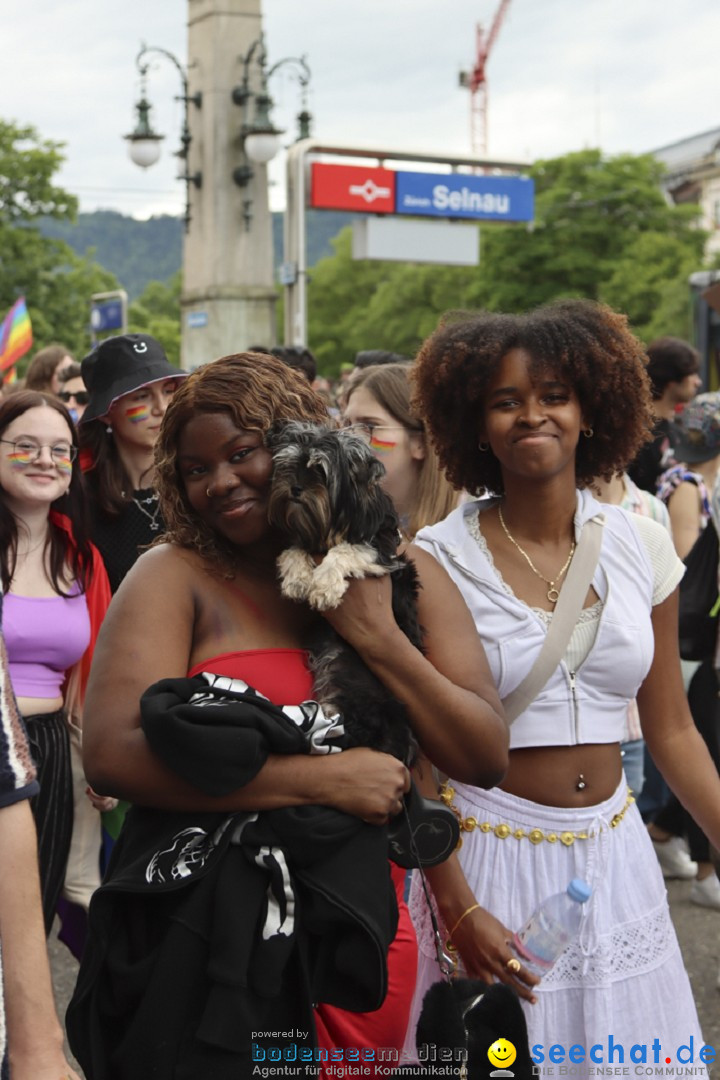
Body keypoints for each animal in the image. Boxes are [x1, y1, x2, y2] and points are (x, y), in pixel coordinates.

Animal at [264, 416, 423, 764]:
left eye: (320, 472)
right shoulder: (305, 538)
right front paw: (297, 579)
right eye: (287, 466)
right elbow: (294, 549)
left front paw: (324, 585)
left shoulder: (381, 551)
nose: (294, 489)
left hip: (356, 691)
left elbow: (347, 550)